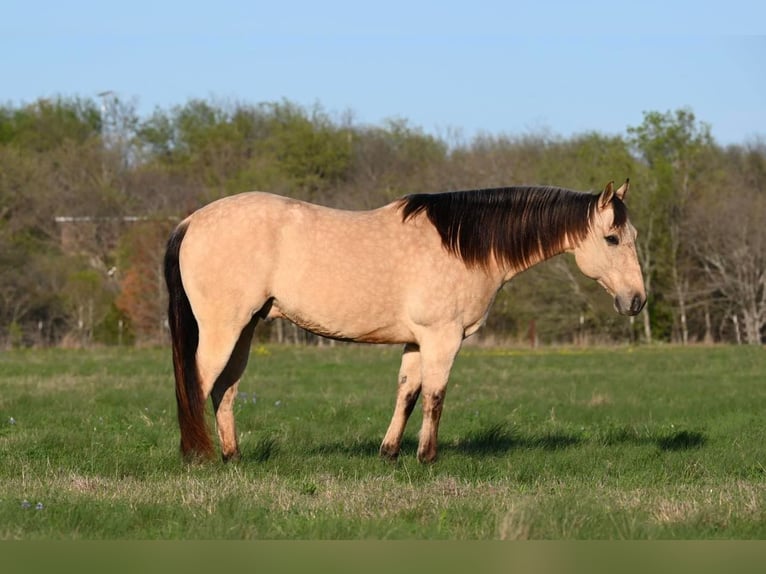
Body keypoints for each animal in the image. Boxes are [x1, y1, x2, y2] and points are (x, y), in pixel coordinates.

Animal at [164, 178, 648, 466]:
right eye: (611, 238)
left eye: (634, 236)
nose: (636, 301)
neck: (463, 246)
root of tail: (192, 220)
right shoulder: (442, 338)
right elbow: (435, 396)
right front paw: (426, 457)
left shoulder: (417, 341)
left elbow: (407, 394)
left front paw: (390, 452)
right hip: (224, 328)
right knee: (198, 383)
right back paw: (197, 456)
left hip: (245, 330)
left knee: (225, 390)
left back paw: (232, 456)